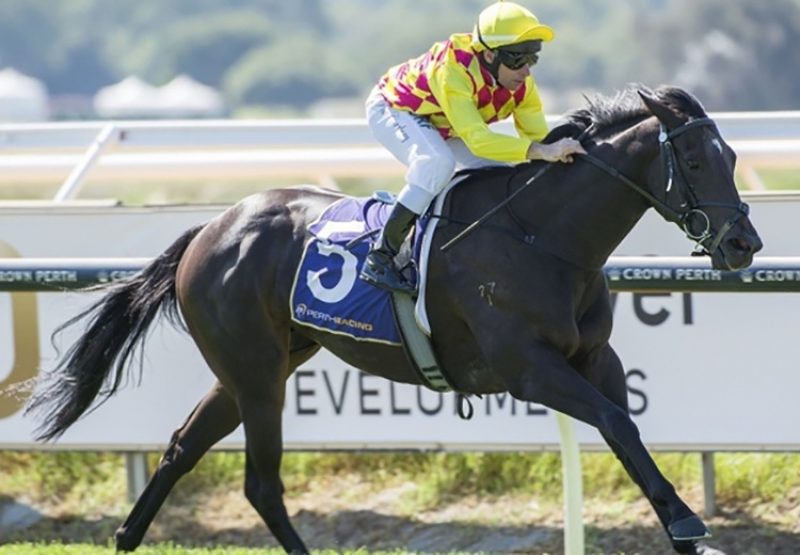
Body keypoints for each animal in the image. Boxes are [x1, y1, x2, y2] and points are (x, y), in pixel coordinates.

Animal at [26, 84, 764, 552]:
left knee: (182, 447)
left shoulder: (593, 358)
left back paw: (126, 538)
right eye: (692, 159)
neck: (541, 235)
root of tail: (211, 227)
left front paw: (683, 527)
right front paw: (687, 524)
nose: (743, 244)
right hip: (258, 376)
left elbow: (626, 431)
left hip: (255, 368)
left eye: (732, 157)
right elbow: (615, 422)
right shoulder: (528, 369)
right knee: (261, 482)